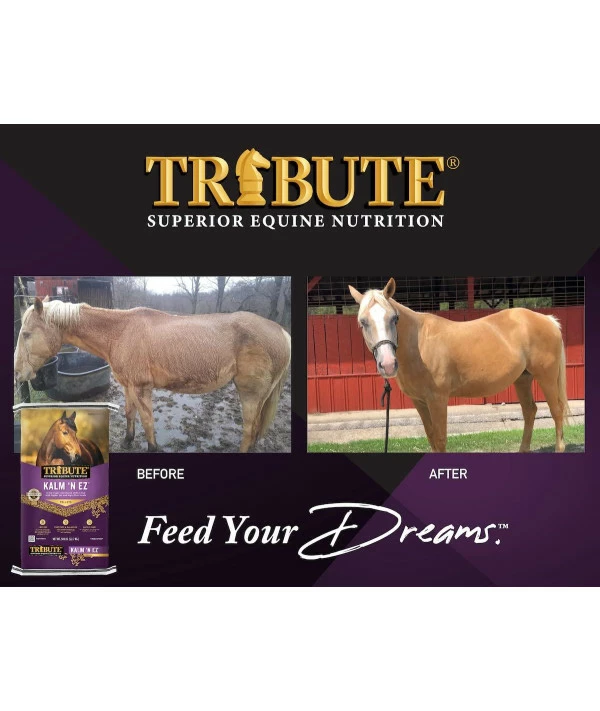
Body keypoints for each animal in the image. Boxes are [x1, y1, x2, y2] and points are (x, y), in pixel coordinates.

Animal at [15, 298, 291, 453]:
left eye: (26, 334)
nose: (18, 373)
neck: (120, 332)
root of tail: (281, 332)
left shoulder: (141, 388)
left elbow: (147, 421)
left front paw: (152, 448)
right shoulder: (128, 386)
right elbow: (130, 414)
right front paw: (128, 440)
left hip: (250, 394)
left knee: (249, 429)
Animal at [348, 278, 571, 453]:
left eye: (394, 318)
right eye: (363, 322)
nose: (388, 364)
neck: (419, 344)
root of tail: (547, 319)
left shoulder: (437, 399)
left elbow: (440, 439)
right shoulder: (419, 401)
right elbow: (431, 438)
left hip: (546, 378)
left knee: (556, 412)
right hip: (522, 379)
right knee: (530, 411)